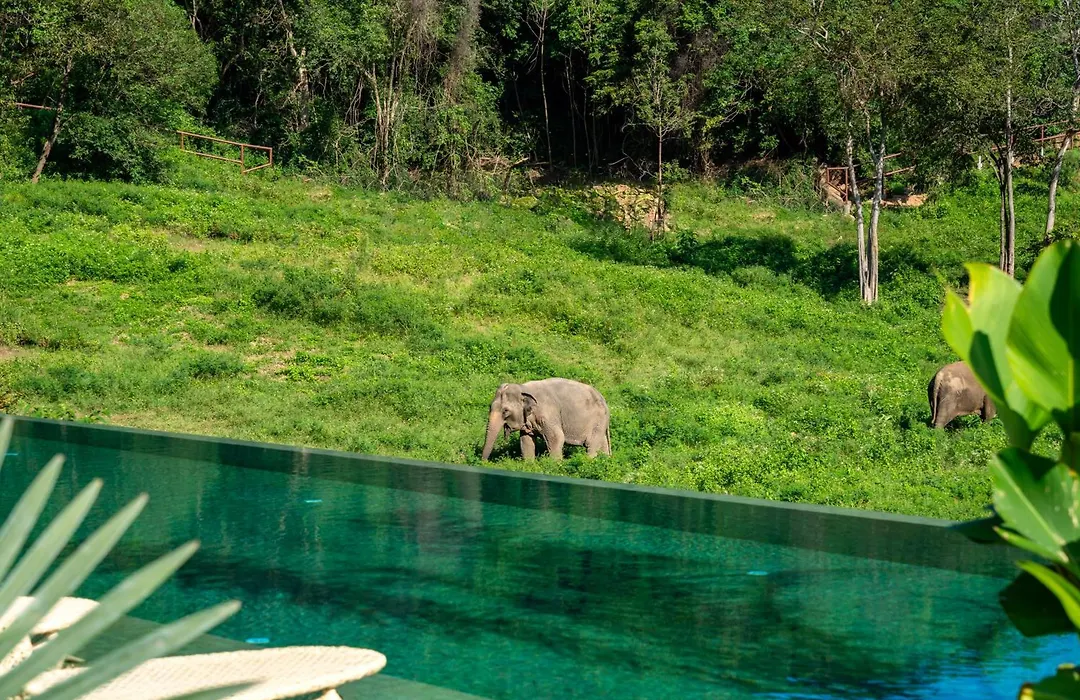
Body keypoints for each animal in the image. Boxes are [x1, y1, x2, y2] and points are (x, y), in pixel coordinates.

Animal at [481, 378, 611, 461]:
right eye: (490, 407)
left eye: (505, 411)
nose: (484, 462)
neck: (524, 387)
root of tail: (605, 401)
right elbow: (526, 440)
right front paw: (529, 465)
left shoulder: (549, 414)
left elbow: (557, 437)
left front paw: (555, 466)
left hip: (598, 421)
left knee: (591, 445)